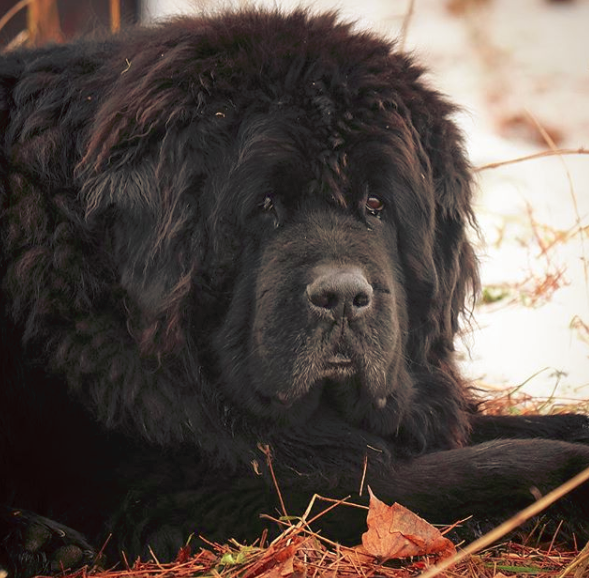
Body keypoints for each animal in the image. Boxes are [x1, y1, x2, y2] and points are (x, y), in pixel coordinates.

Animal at [1, 10, 588, 576]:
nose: (344, 297)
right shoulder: (200, 480)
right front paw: (570, 475)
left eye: (376, 205)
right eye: (265, 205)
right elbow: (440, 477)